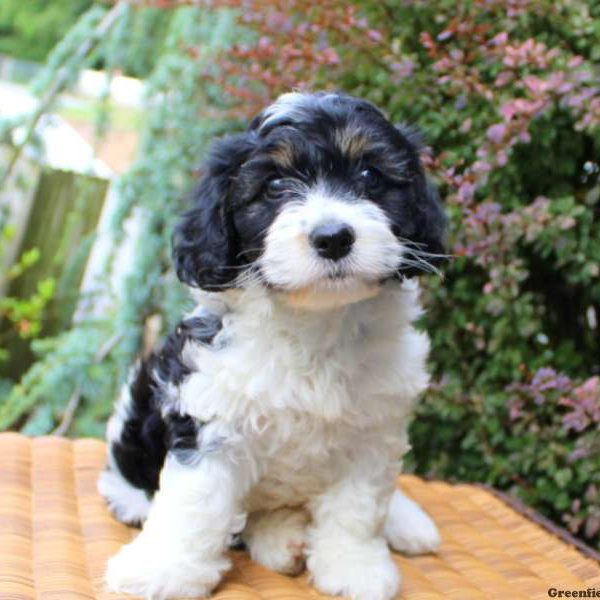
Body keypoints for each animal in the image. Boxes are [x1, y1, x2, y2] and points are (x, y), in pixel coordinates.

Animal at [98, 90, 446, 600]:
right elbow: (194, 502)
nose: (333, 238)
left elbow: (359, 507)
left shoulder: (373, 433)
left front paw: (354, 566)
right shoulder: (210, 415)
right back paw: (281, 538)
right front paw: (163, 569)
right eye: (275, 185)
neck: (315, 322)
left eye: (369, 176)